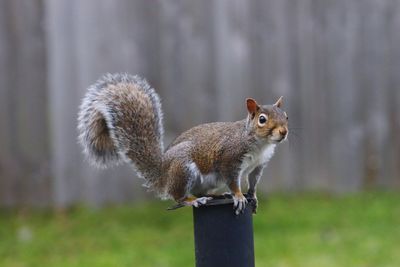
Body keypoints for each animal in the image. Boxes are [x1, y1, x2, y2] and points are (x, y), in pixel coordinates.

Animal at [78, 74, 290, 216]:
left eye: (286, 116)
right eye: (262, 119)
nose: (283, 132)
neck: (259, 143)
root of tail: (162, 175)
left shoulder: (259, 164)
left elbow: (253, 181)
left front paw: (253, 196)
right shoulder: (230, 158)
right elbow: (233, 180)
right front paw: (238, 196)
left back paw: (215, 196)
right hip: (183, 168)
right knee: (178, 197)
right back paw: (195, 201)